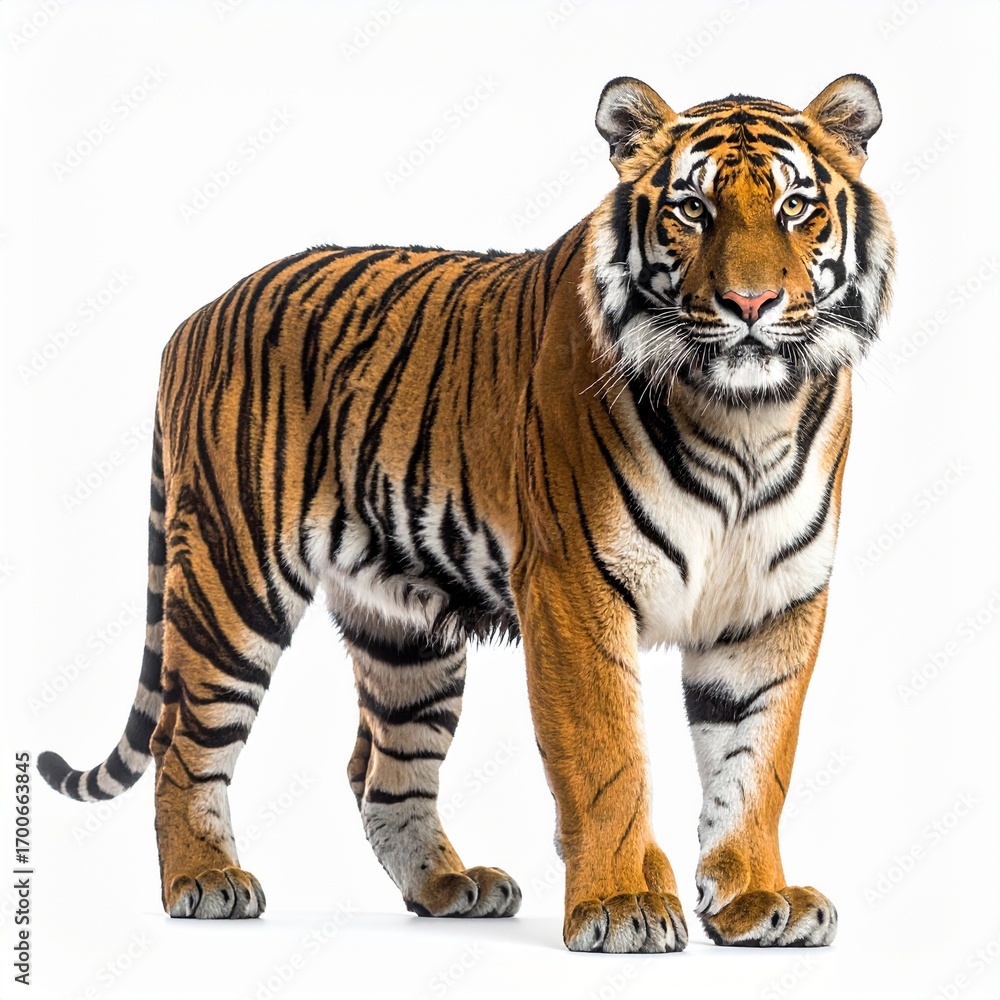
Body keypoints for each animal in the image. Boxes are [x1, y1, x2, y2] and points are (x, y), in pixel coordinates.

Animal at [38, 73, 894, 953]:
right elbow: (608, 757)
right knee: (182, 741)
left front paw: (758, 897)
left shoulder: (774, 603)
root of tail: (197, 315)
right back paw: (204, 880)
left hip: (404, 632)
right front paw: (623, 903)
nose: (751, 302)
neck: (745, 416)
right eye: (692, 209)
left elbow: (756, 761)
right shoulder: (574, 588)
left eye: (795, 206)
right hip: (230, 578)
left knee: (382, 770)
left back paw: (449, 885)